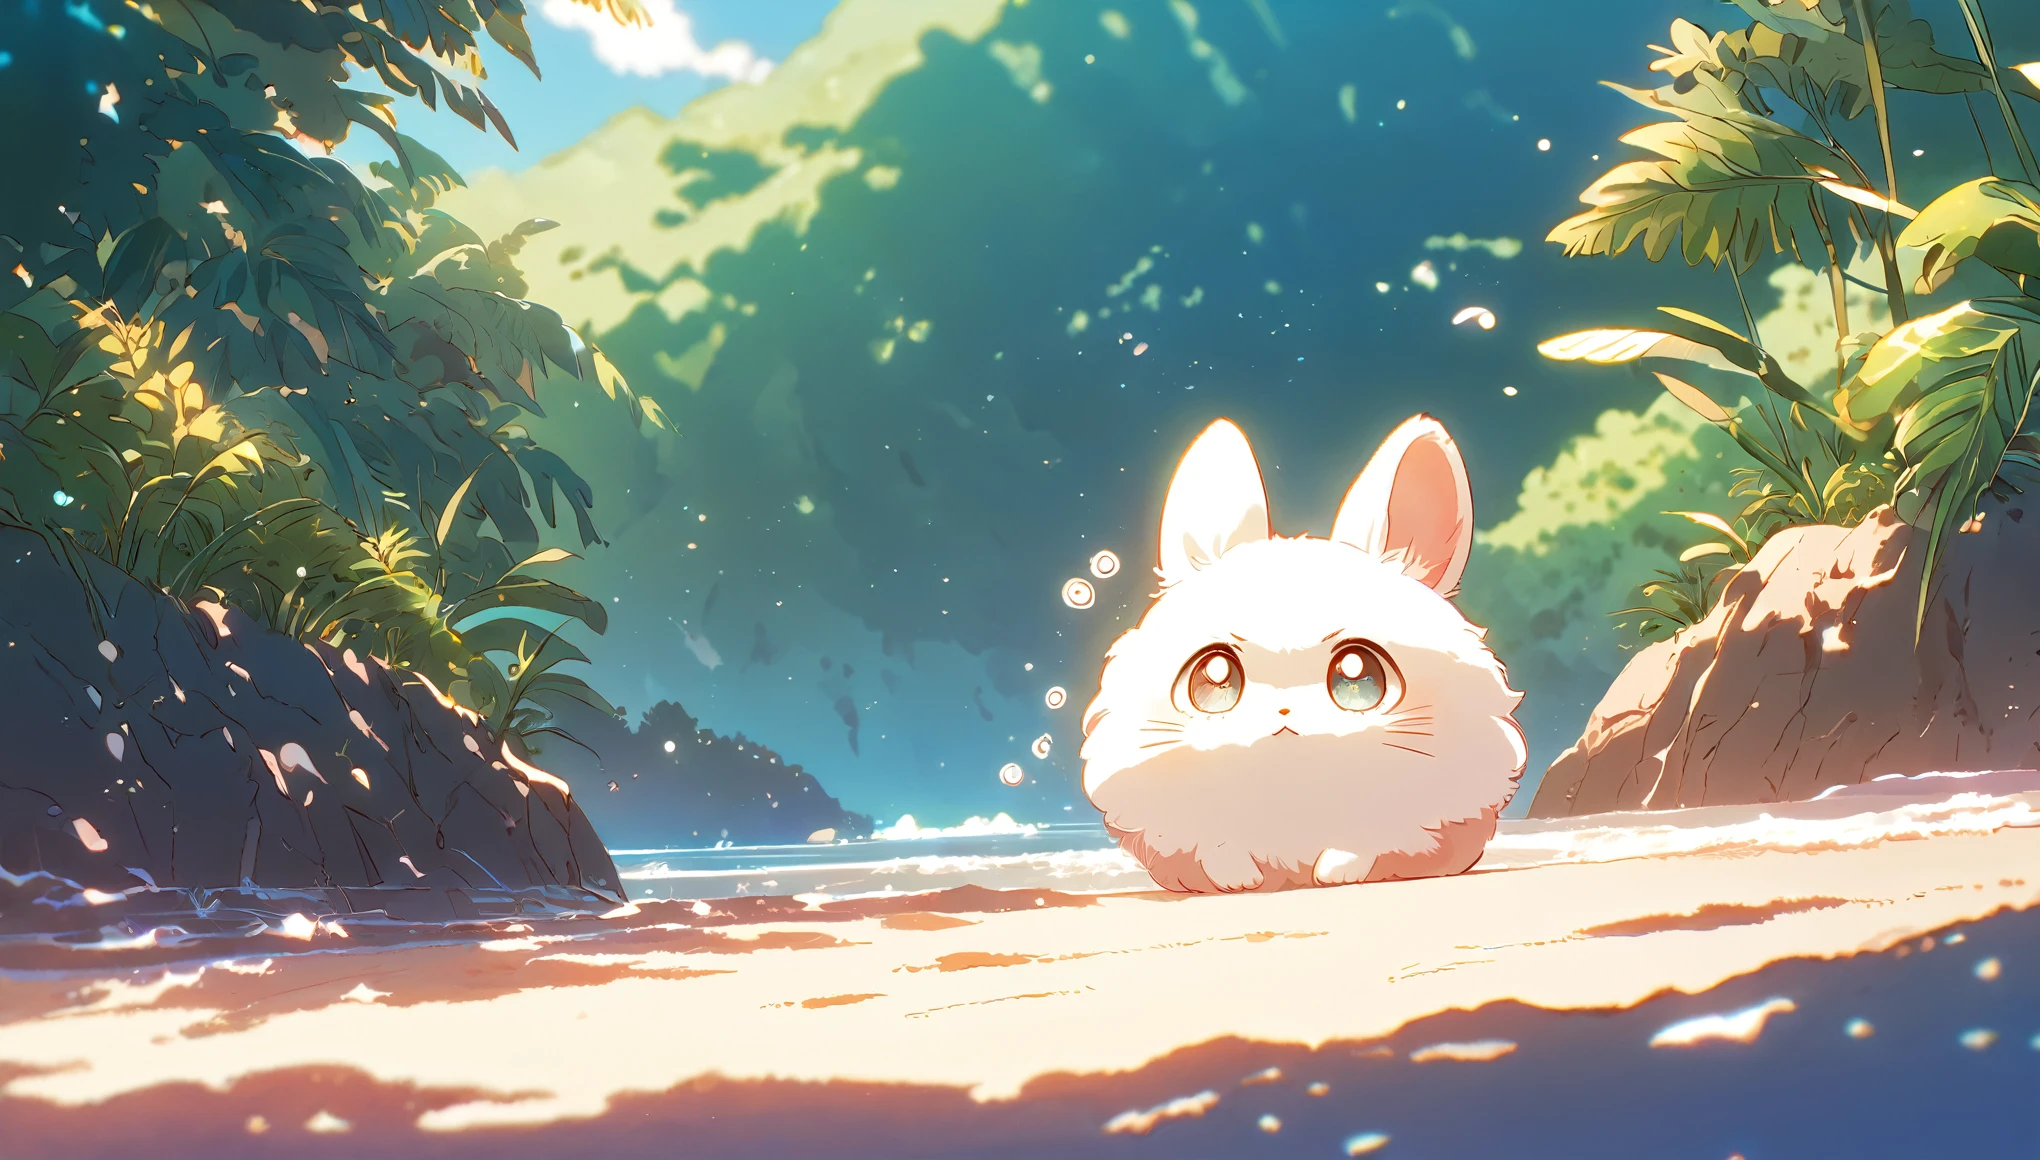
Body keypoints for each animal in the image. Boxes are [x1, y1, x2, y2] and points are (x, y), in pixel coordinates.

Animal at [1079, 415, 1526, 893]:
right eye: (1215, 678)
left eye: (1356, 676)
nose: (1284, 708)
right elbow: (1217, 847)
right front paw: (1239, 879)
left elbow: (1368, 842)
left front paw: (1336, 871)